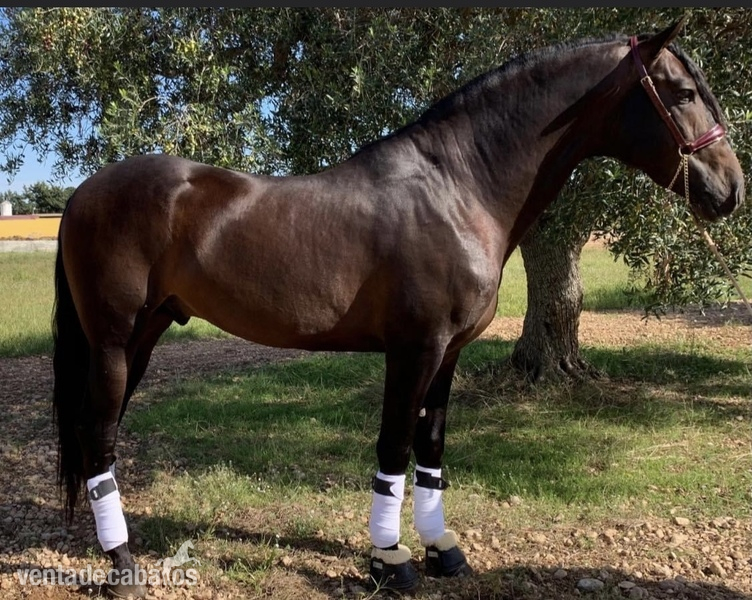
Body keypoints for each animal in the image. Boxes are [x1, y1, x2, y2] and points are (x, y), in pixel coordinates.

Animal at [51, 20, 744, 598]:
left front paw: (442, 549)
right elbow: (393, 448)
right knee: (99, 434)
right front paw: (391, 559)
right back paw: (122, 565)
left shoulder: (449, 353)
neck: (458, 185)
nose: (731, 190)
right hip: (114, 341)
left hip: (145, 333)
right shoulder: (415, 349)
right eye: (682, 92)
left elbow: (430, 448)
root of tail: (83, 194)